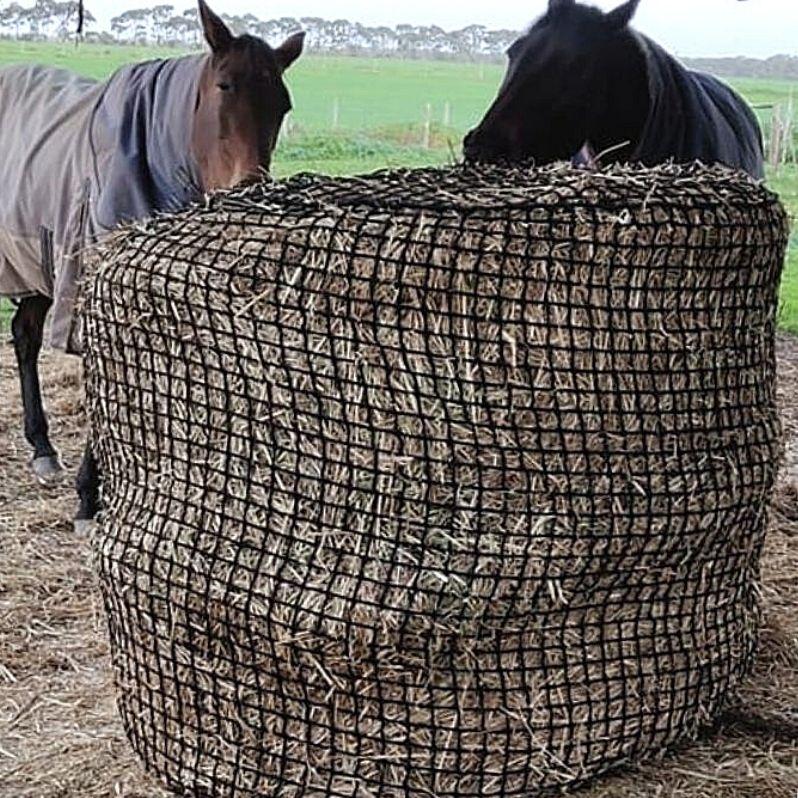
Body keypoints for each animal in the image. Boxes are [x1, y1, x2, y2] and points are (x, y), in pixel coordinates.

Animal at [0, 0, 304, 528]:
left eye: (282, 104)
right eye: (225, 86)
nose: (249, 190)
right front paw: (88, 498)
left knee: (24, 336)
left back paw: (42, 448)